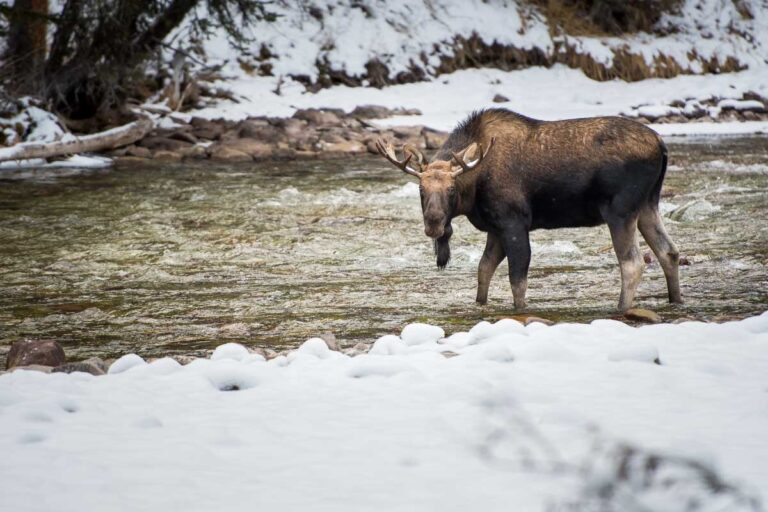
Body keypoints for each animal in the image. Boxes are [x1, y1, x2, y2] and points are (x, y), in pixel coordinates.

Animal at [376, 108, 682, 311]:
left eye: (451, 190)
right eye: (420, 190)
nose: (433, 224)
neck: (474, 186)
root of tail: (661, 144)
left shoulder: (514, 221)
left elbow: (517, 280)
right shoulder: (495, 228)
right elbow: (484, 270)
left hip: (620, 210)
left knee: (632, 263)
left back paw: (620, 308)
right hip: (648, 205)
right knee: (669, 252)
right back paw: (675, 299)